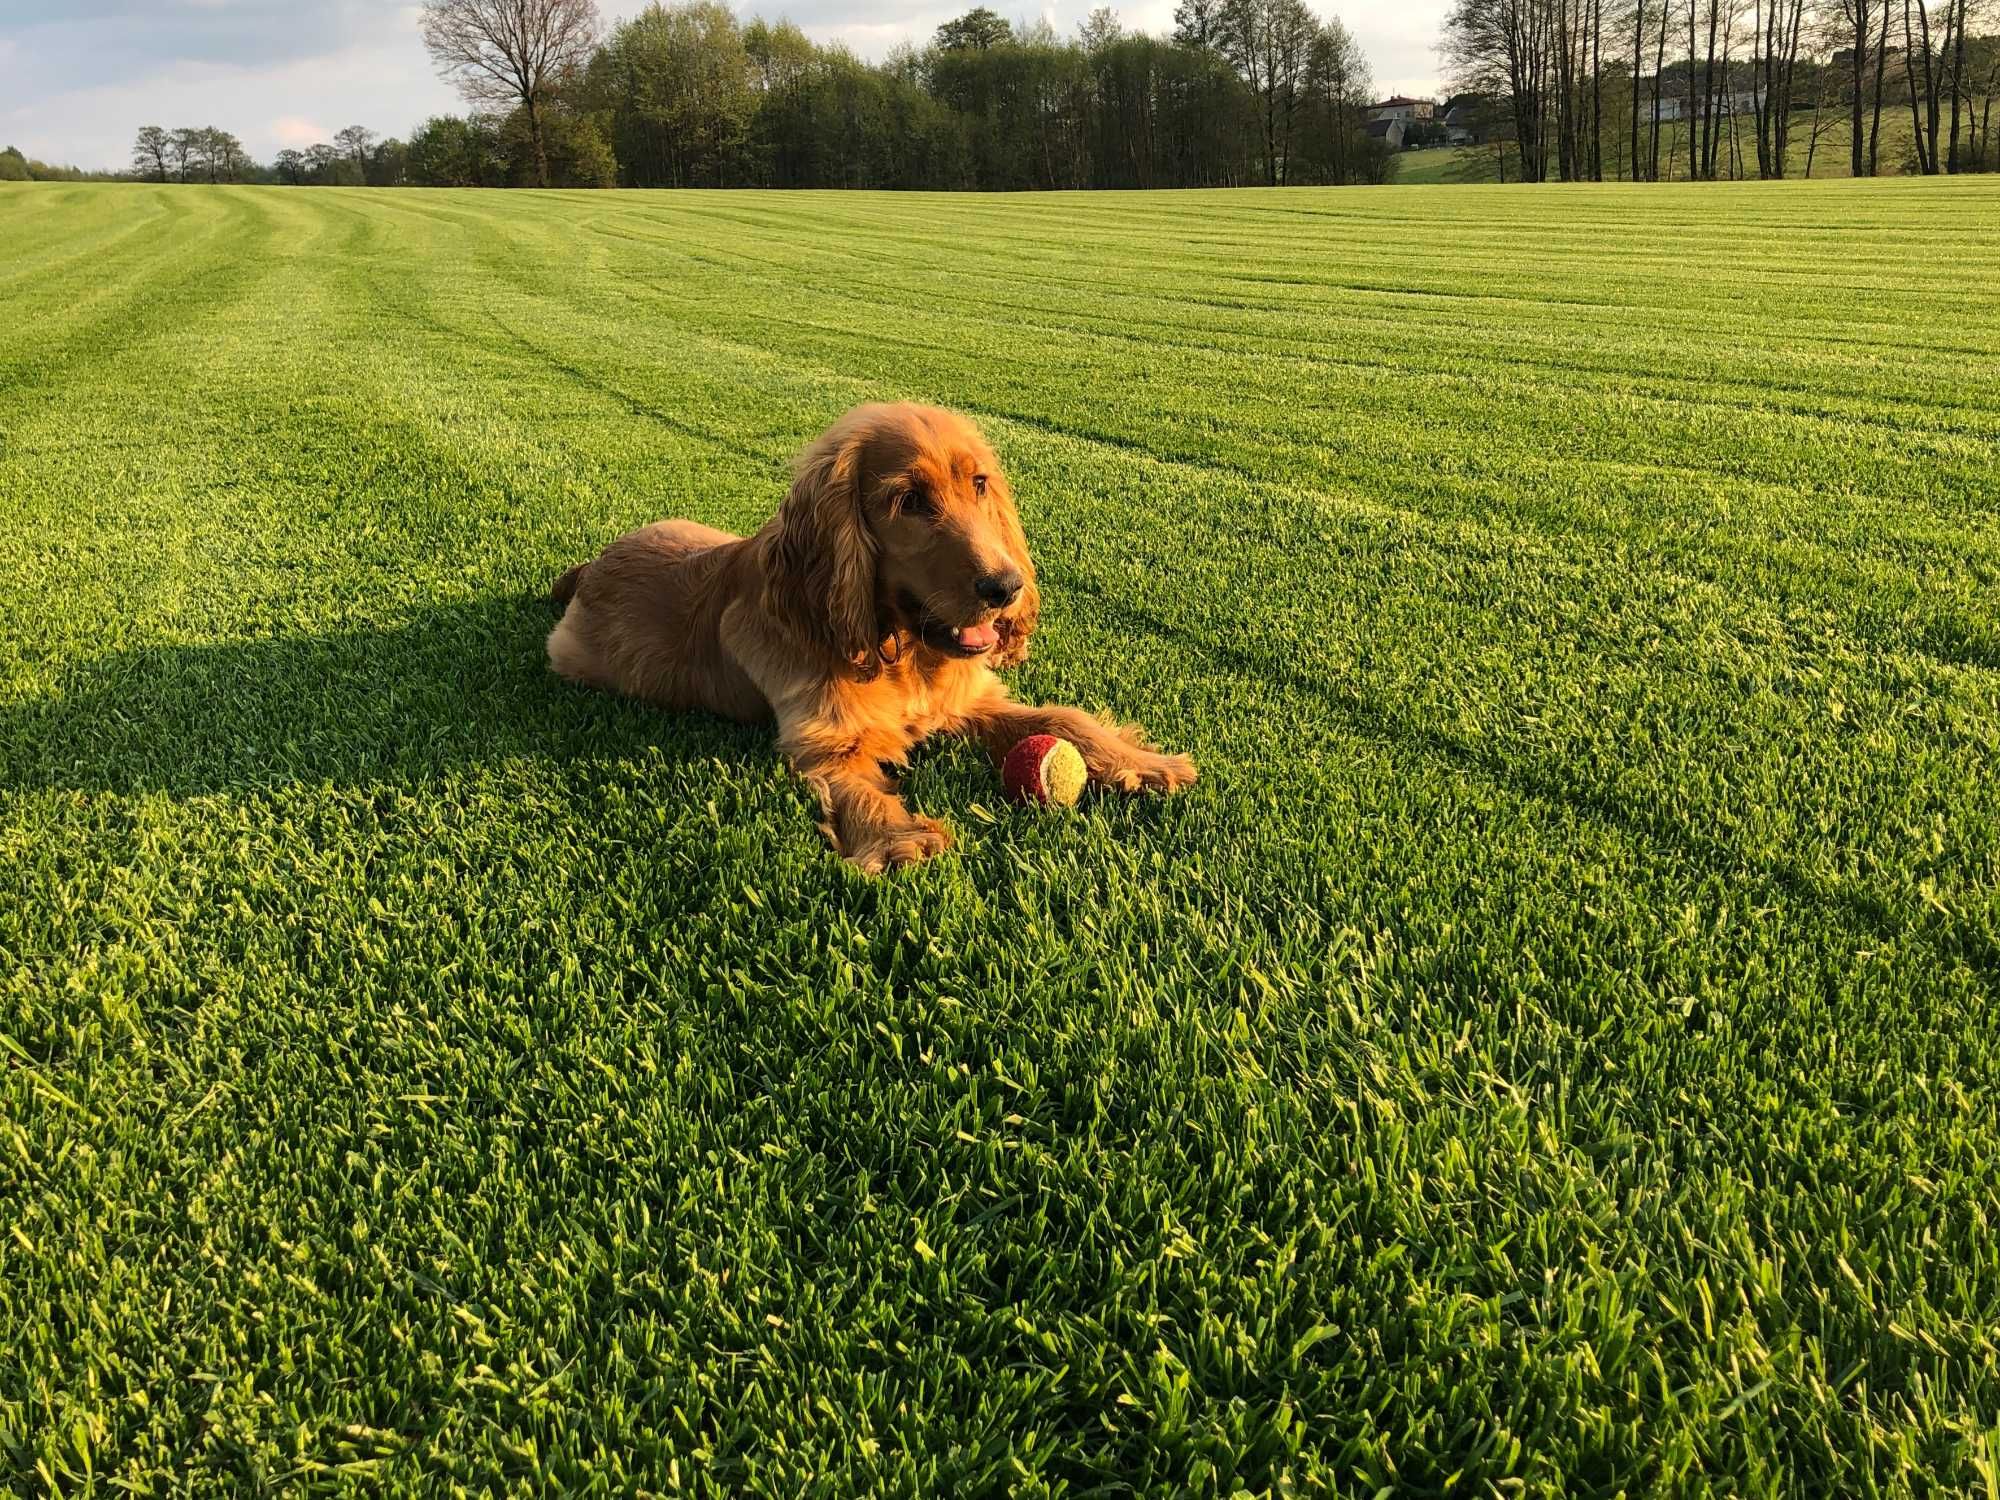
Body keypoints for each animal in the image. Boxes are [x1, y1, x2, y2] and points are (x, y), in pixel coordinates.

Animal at [548, 402, 1192, 868]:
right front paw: (902, 839)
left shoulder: (971, 700)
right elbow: (856, 788)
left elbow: (1064, 718)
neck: (901, 651)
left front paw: (1143, 762)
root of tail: (590, 566)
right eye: (909, 501)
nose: (1006, 586)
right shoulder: (823, 741)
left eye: (981, 484)